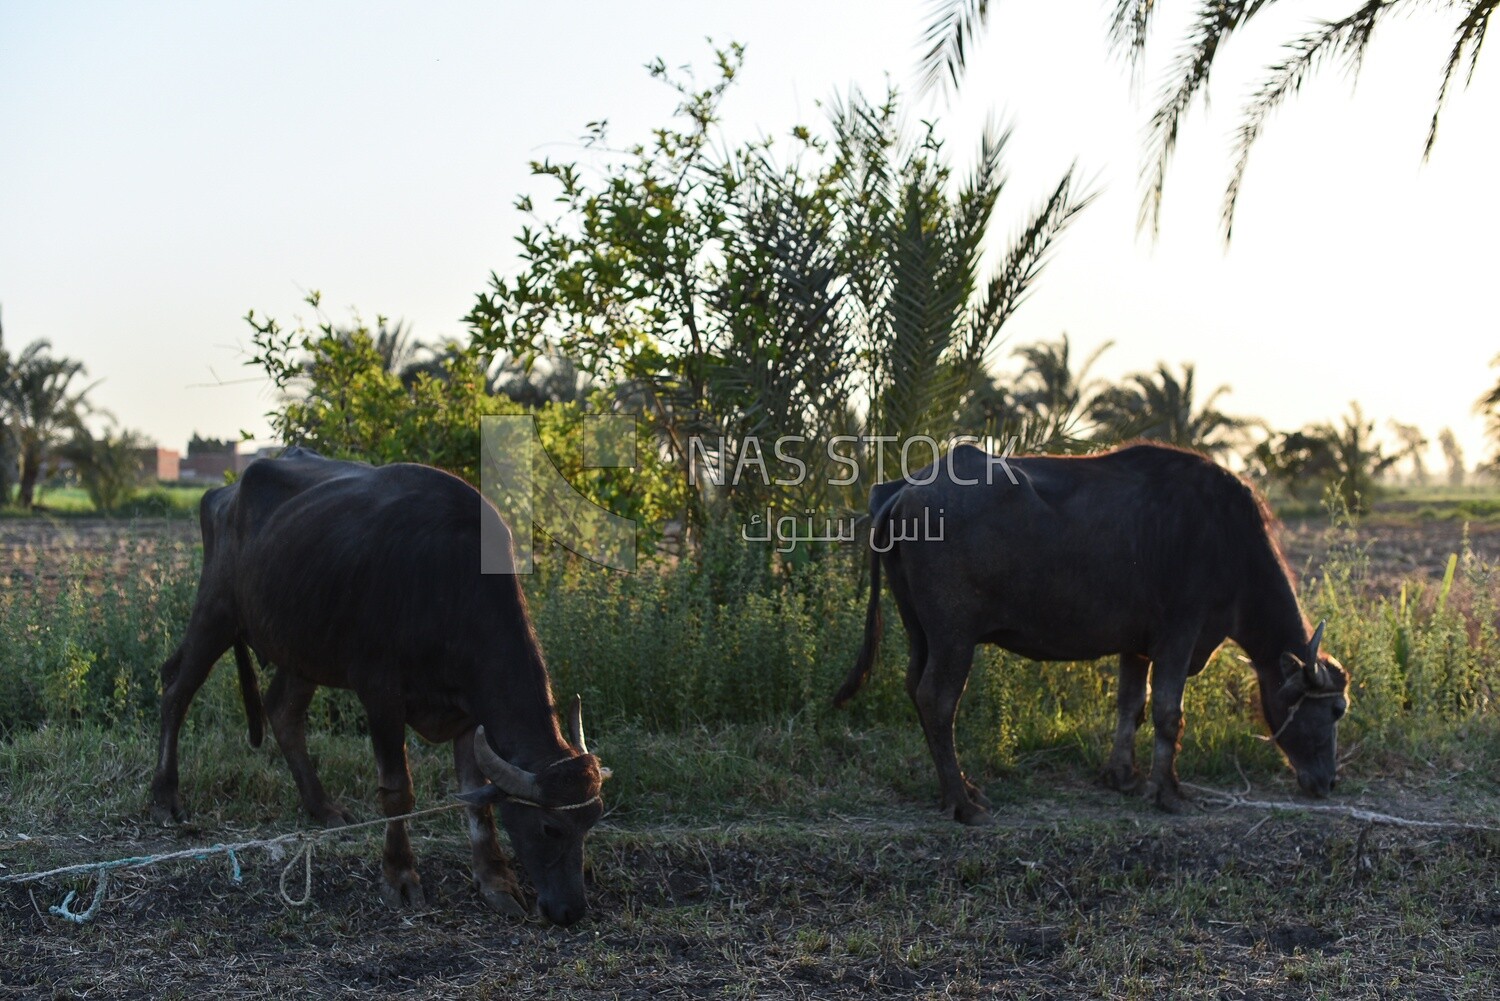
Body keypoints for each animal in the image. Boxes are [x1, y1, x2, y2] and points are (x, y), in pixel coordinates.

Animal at [146, 450, 603, 930]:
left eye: (592, 821)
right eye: (550, 827)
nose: (570, 909)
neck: (446, 579)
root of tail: (224, 494)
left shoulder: (469, 711)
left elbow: (476, 799)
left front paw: (495, 881)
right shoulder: (380, 693)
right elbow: (398, 789)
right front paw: (399, 876)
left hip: (303, 646)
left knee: (282, 710)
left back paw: (323, 807)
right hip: (216, 611)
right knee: (176, 689)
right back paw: (165, 797)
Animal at [834, 441, 1350, 828]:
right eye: (1335, 711)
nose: (1327, 782)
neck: (1230, 545)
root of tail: (902, 491)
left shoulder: (1137, 647)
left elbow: (1131, 706)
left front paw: (1122, 776)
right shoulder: (1179, 637)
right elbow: (1169, 714)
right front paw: (1168, 792)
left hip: (919, 630)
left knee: (914, 687)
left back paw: (958, 790)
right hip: (954, 637)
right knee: (938, 700)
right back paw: (963, 802)